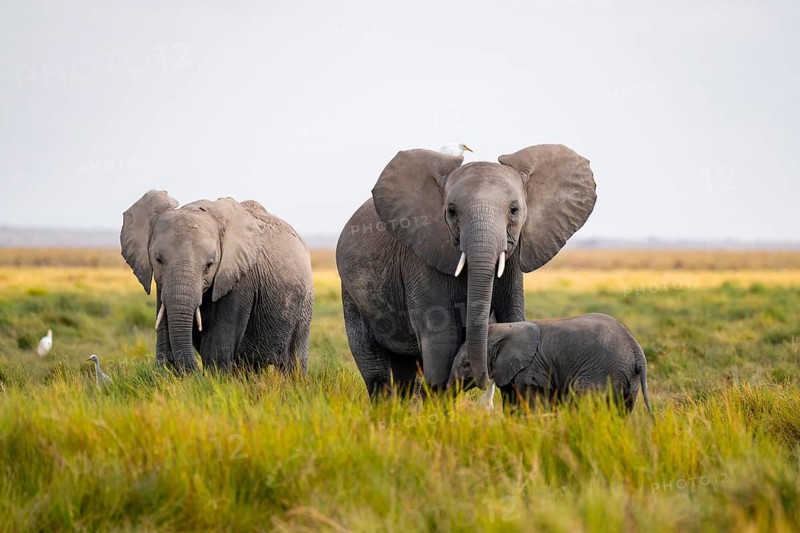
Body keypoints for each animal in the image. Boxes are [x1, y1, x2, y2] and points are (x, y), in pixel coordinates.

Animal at [120, 190, 313, 374]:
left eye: (209, 265)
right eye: (158, 260)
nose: (194, 371)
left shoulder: (239, 280)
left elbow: (216, 349)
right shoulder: (161, 284)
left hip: (304, 306)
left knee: (294, 361)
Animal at [336, 144, 596, 399]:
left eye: (514, 210)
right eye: (451, 212)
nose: (484, 379)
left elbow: (512, 318)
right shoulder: (420, 257)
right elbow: (442, 338)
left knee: (406, 373)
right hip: (351, 295)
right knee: (375, 369)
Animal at [448, 314, 653, 414]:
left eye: (466, 365)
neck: (505, 329)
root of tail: (637, 352)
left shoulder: (532, 368)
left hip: (602, 372)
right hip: (627, 378)